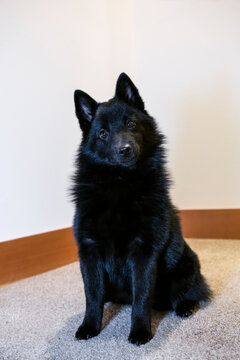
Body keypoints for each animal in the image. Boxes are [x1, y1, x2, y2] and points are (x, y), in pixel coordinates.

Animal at [72, 73, 211, 346]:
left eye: (131, 123)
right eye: (102, 133)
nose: (124, 149)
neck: (119, 184)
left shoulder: (144, 252)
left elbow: (142, 297)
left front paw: (140, 331)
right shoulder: (89, 251)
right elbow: (92, 295)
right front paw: (89, 326)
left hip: (186, 266)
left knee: (191, 292)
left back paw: (185, 306)